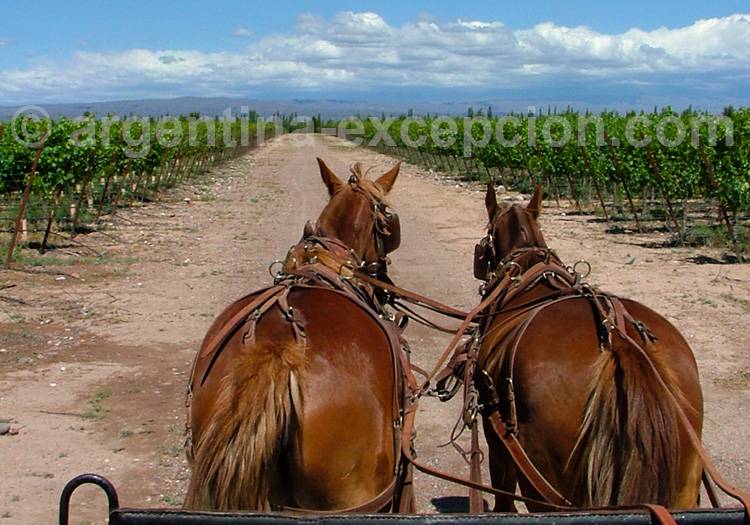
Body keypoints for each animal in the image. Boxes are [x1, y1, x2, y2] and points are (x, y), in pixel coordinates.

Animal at [471, 183, 705, 512]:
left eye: (486, 236)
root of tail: (620, 343)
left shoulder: (495, 434)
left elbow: (503, 496)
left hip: (544, 486)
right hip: (684, 485)